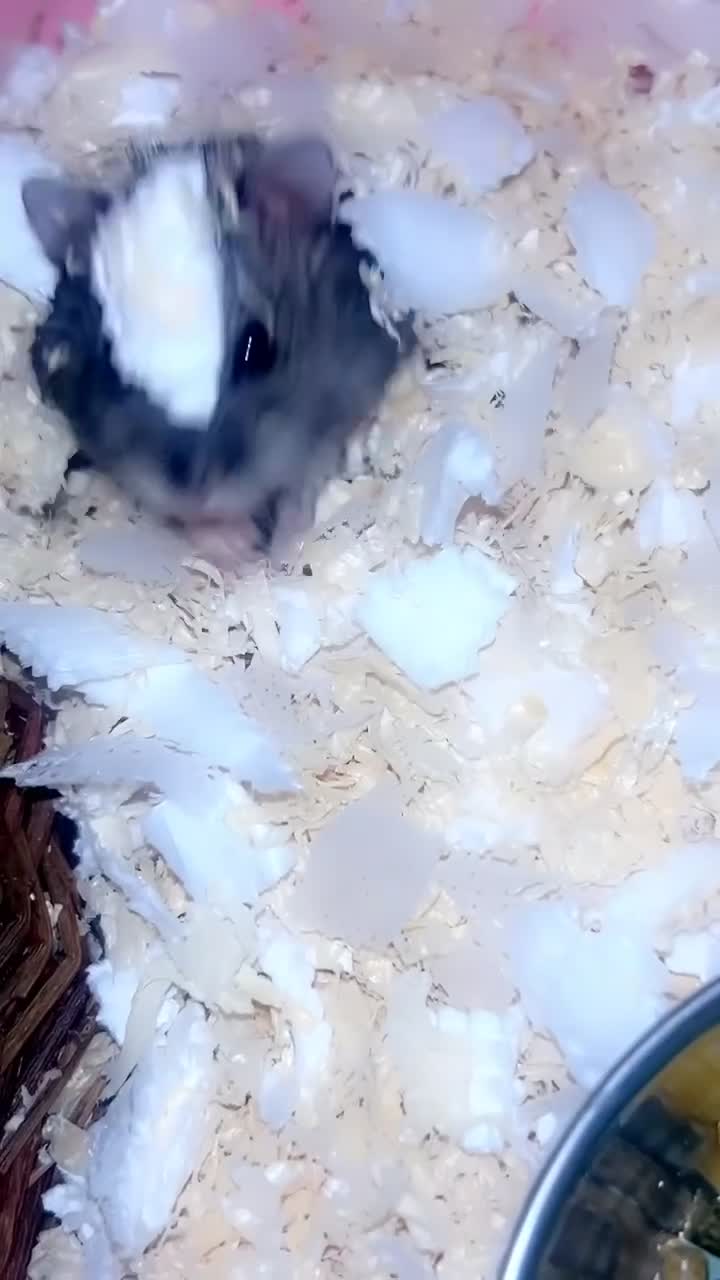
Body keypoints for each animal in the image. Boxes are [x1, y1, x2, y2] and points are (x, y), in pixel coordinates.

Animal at [22, 134, 415, 561]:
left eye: (257, 347)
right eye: (106, 369)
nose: (195, 493)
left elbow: (311, 469)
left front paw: (283, 544)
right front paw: (235, 546)